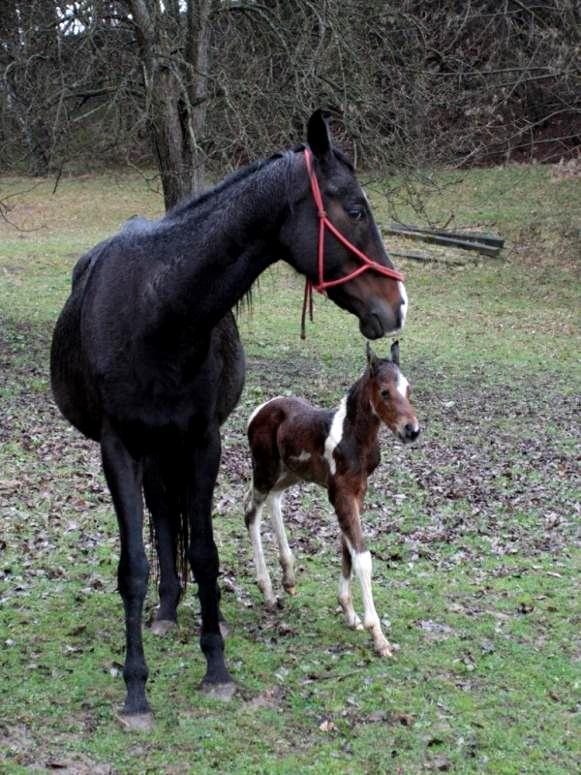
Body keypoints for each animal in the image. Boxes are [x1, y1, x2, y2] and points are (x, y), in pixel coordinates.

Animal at [242, 342, 420, 656]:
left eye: (408, 388)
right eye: (385, 392)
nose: (412, 430)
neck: (355, 440)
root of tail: (259, 410)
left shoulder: (358, 493)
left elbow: (347, 548)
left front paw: (349, 614)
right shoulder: (340, 494)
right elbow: (362, 556)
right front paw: (378, 635)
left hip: (290, 473)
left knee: (273, 499)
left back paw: (288, 576)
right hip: (265, 470)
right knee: (251, 511)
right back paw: (268, 591)